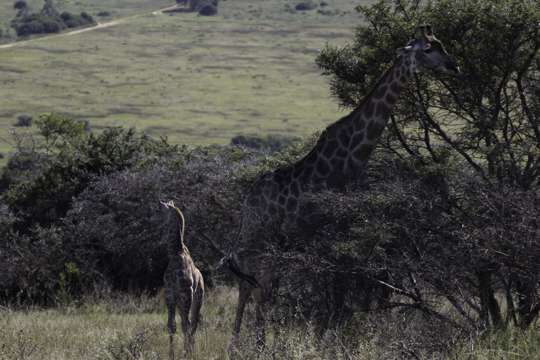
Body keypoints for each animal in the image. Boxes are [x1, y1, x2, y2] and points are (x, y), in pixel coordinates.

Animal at [150, 201, 205, 356]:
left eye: (157, 210)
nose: (149, 217)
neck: (174, 258)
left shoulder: (186, 295)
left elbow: (187, 326)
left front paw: (186, 353)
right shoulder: (169, 295)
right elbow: (172, 325)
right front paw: (171, 353)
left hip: (197, 299)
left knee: (193, 324)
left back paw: (191, 350)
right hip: (181, 303)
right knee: (187, 323)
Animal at [219, 23, 460, 344]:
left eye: (442, 44)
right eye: (428, 49)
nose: (454, 66)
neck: (353, 155)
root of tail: (246, 201)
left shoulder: (345, 226)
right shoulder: (334, 226)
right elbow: (339, 284)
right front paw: (333, 335)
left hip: (271, 240)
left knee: (256, 285)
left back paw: (254, 342)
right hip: (256, 237)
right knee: (249, 286)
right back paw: (241, 344)